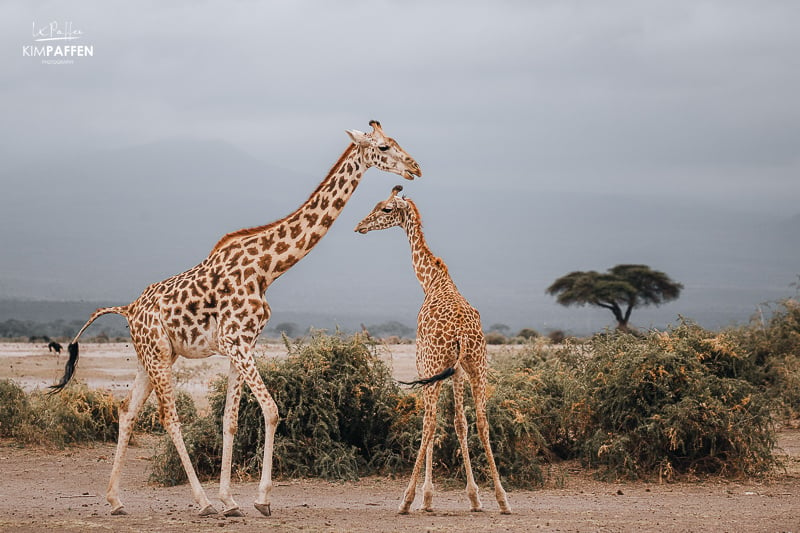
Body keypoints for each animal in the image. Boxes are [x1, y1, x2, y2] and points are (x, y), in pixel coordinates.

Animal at [50, 120, 422, 516]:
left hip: (152, 356)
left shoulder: (240, 346)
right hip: (157, 355)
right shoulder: (236, 342)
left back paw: (116, 500)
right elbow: (271, 410)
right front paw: (260, 499)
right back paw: (200, 502)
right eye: (383, 147)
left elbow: (230, 420)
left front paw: (230, 500)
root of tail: (129, 309)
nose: (415, 168)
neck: (267, 267)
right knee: (169, 416)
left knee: (126, 411)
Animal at [356, 185, 512, 512]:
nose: (360, 226)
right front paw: (474, 496)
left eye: (386, 208)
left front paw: (427, 498)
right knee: (482, 422)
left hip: (433, 367)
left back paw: (406, 500)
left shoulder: (425, 365)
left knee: (428, 423)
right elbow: (460, 424)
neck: (432, 281)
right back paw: (502, 499)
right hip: (479, 367)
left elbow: (435, 424)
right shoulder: (458, 371)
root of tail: (462, 332)